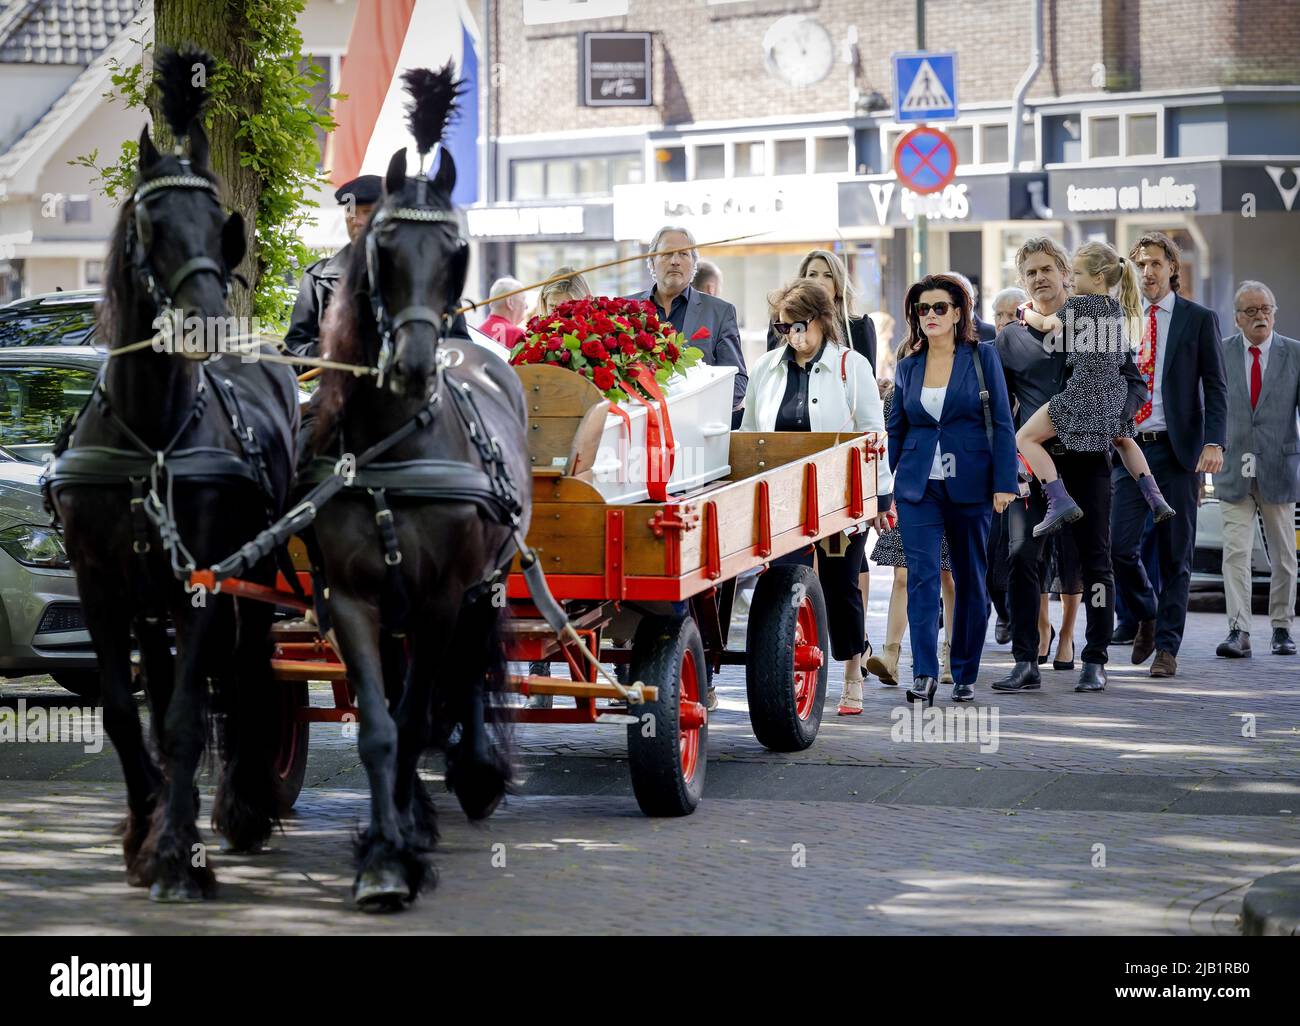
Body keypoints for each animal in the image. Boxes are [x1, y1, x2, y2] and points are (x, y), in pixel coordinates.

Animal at [46, 50, 299, 894]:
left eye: (223, 227)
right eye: (149, 225)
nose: (206, 323)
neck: (152, 436)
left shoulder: (206, 580)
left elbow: (189, 711)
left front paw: (175, 852)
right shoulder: (100, 581)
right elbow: (128, 712)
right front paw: (144, 824)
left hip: (253, 578)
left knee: (247, 672)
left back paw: (245, 806)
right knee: (163, 687)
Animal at [308, 67, 527, 910]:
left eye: (457, 249)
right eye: (385, 246)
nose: (412, 362)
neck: (395, 449)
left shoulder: (440, 598)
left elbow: (414, 712)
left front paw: (398, 847)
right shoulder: (351, 598)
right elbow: (381, 725)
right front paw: (385, 849)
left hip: (485, 584)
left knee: (462, 675)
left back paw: (475, 773)